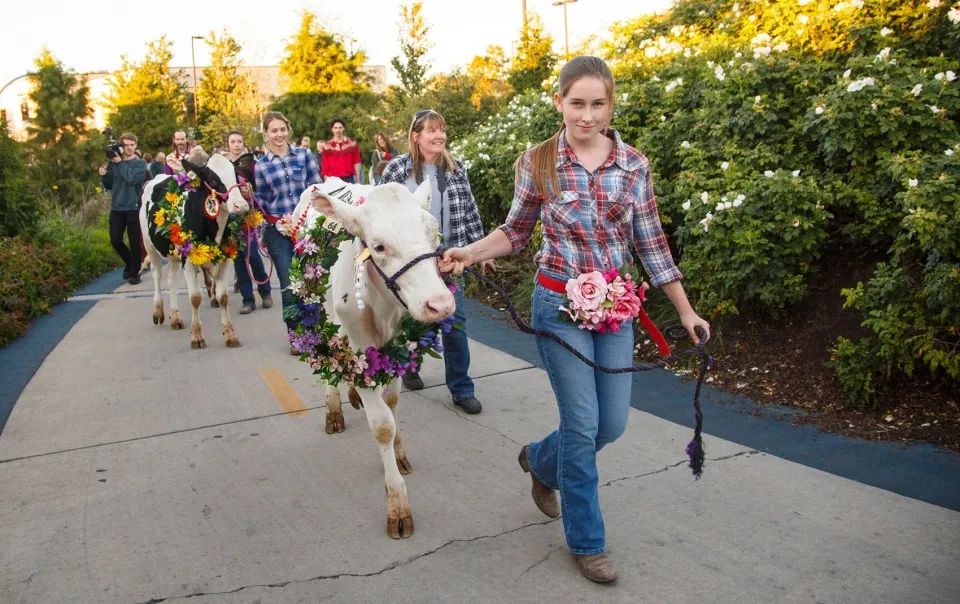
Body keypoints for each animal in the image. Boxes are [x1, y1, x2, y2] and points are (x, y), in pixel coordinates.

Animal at [140, 149, 253, 350]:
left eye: (236, 174)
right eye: (213, 179)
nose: (241, 205)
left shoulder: (224, 258)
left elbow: (223, 297)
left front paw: (230, 335)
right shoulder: (189, 260)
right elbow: (195, 298)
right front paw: (196, 337)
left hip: (173, 254)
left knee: (171, 280)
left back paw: (175, 317)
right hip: (149, 245)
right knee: (157, 276)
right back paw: (158, 311)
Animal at [294, 176, 456, 536]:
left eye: (434, 233)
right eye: (379, 247)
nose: (440, 303)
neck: (382, 307)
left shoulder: (399, 342)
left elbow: (392, 403)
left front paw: (397, 454)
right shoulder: (359, 343)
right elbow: (382, 424)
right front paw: (397, 504)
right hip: (322, 309)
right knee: (329, 354)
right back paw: (334, 409)